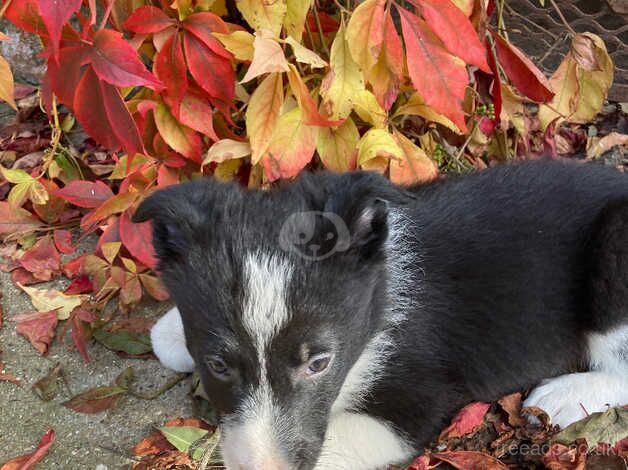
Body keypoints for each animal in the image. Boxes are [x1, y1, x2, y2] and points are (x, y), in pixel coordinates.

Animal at [134, 159, 628, 470]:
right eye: (217, 365)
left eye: (319, 363)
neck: (379, 299)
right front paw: (170, 330)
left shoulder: (413, 404)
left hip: (613, 252)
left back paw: (562, 397)